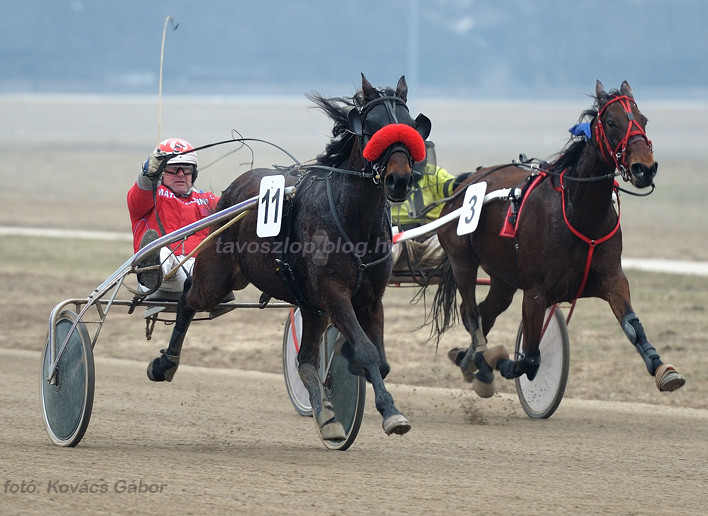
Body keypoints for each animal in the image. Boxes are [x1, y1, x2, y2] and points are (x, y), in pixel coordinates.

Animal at [148, 74, 432, 442]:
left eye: (410, 127)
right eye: (373, 128)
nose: (400, 179)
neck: (352, 217)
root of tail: (236, 186)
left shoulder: (370, 298)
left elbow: (378, 359)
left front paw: (355, 376)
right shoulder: (335, 293)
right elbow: (367, 350)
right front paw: (390, 411)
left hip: (308, 305)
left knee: (305, 360)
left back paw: (327, 417)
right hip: (218, 276)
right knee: (188, 299)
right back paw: (165, 363)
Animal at [428, 81, 684, 400]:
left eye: (644, 120)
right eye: (612, 122)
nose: (644, 168)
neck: (580, 215)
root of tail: (464, 182)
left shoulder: (611, 277)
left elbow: (632, 326)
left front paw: (663, 369)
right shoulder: (536, 292)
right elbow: (530, 359)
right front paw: (500, 360)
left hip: (504, 279)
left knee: (487, 312)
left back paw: (470, 360)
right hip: (462, 260)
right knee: (471, 313)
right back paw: (480, 360)